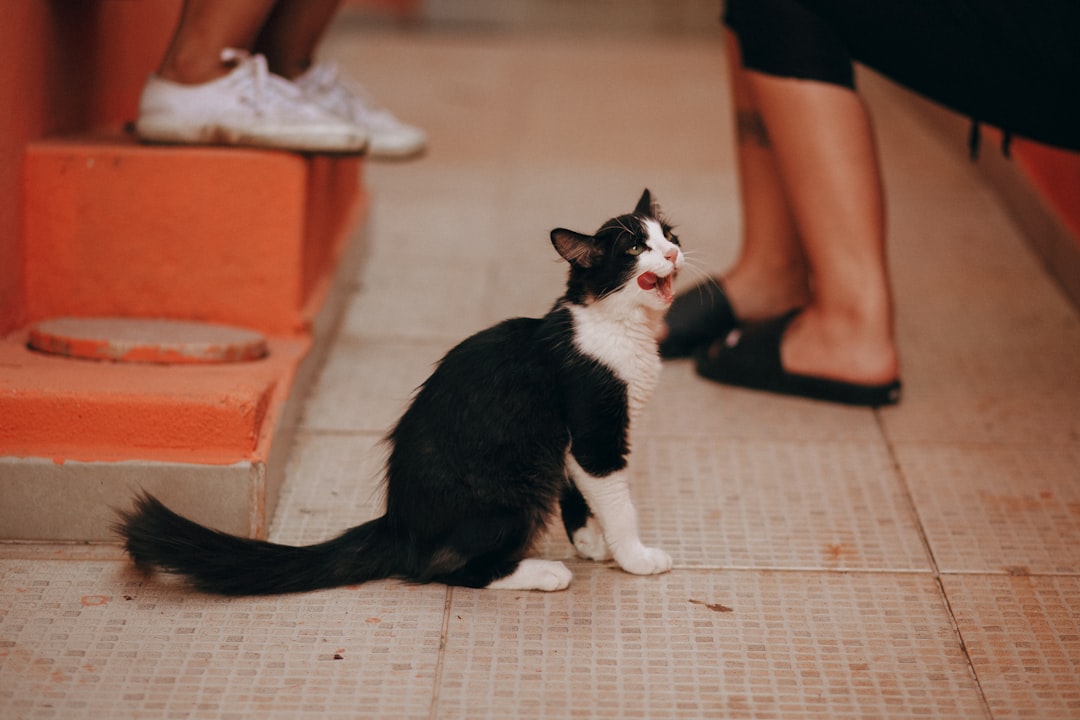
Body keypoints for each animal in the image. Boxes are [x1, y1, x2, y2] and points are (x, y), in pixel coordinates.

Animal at [118, 188, 682, 595]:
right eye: (636, 248)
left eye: (668, 233)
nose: (675, 251)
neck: (612, 325)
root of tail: (398, 524)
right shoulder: (595, 428)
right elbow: (616, 498)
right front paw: (634, 556)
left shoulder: (569, 437)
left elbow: (580, 490)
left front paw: (591, 542)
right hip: (514, 490)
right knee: (441, 567)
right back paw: (540, 573)